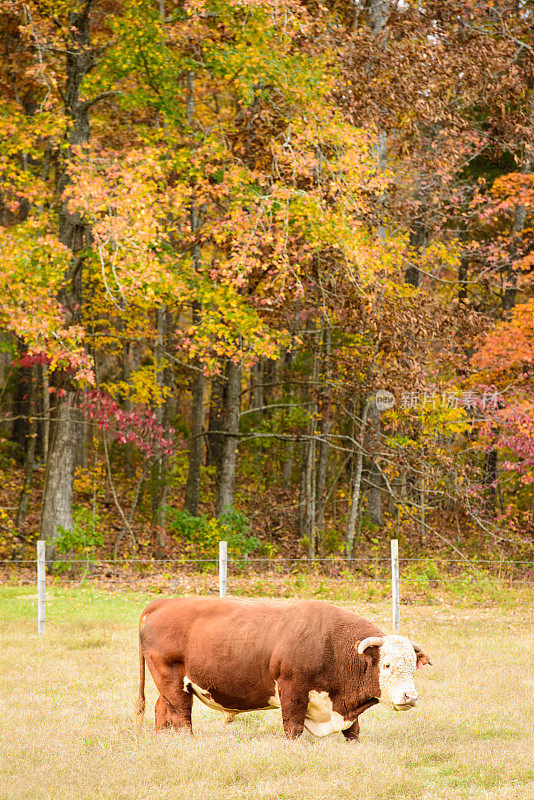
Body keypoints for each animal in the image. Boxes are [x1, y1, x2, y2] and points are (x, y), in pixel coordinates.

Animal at [136, 596, 434, 740]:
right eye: (387, 663)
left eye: (412, 666)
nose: (410, 696)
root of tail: (162, 604)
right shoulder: (292, 688)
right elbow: (293, 727)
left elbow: (354, 731)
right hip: (172, 680)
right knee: (181, 717)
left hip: (168, 685)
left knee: (162, 710)